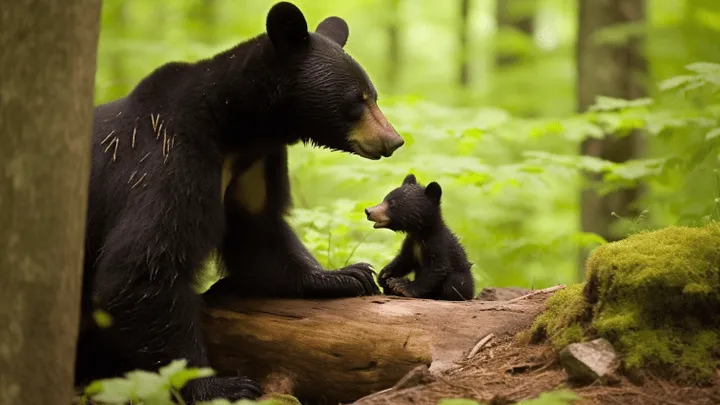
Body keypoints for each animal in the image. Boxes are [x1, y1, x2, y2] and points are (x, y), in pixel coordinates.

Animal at [74, 2, 403, 404]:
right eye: (358, 99)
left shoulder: (253, 166)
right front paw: (219, 384)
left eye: (373, 95)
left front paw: (345, 275)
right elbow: (142, 267)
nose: (394, 139)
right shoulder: (166, 158)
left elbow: (259, 233)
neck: (235, 127)